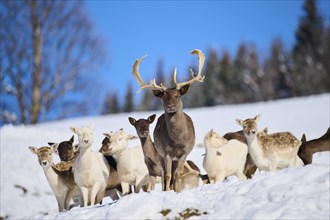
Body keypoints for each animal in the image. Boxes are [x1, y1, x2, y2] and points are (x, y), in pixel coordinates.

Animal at [132, 49, 206, 192]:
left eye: (177, 95)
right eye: (163, 97)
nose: (170, 107)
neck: (177, 140)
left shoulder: (184, 152)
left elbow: (179, 174)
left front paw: (178, 191)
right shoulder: (166, 153)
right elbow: (167, 175)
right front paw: (168, 191)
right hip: (162, 156)